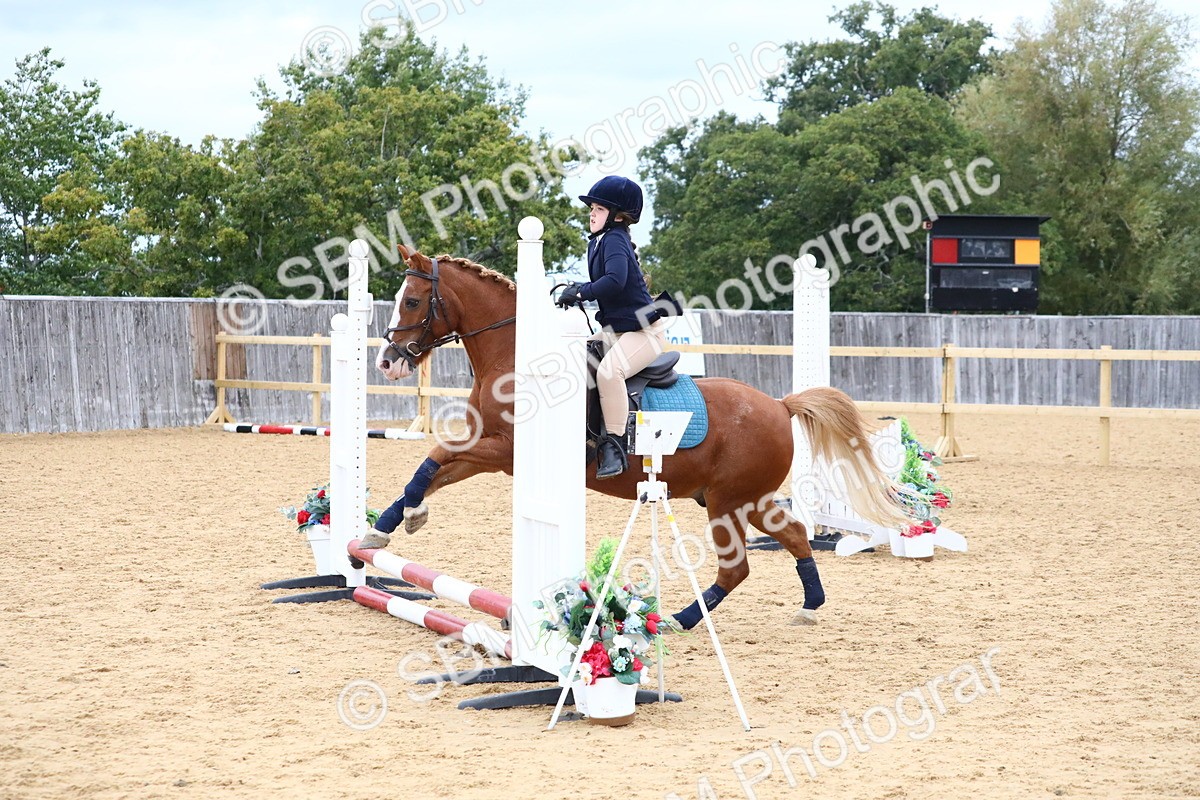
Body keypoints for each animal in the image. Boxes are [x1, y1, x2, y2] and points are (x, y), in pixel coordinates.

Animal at [368, 245, 912, 628]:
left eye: (412, 300)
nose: (388, 362)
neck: (514, 356)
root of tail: (779, 405)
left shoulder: (504, 450)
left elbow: (436, 455)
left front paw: (403, 515)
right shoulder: (496, 452)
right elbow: (434, 468)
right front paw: (393, 521)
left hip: (729, 501)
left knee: (736, 568)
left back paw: (681, 619)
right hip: (747, 500)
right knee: (794, 534)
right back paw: (809, 605)